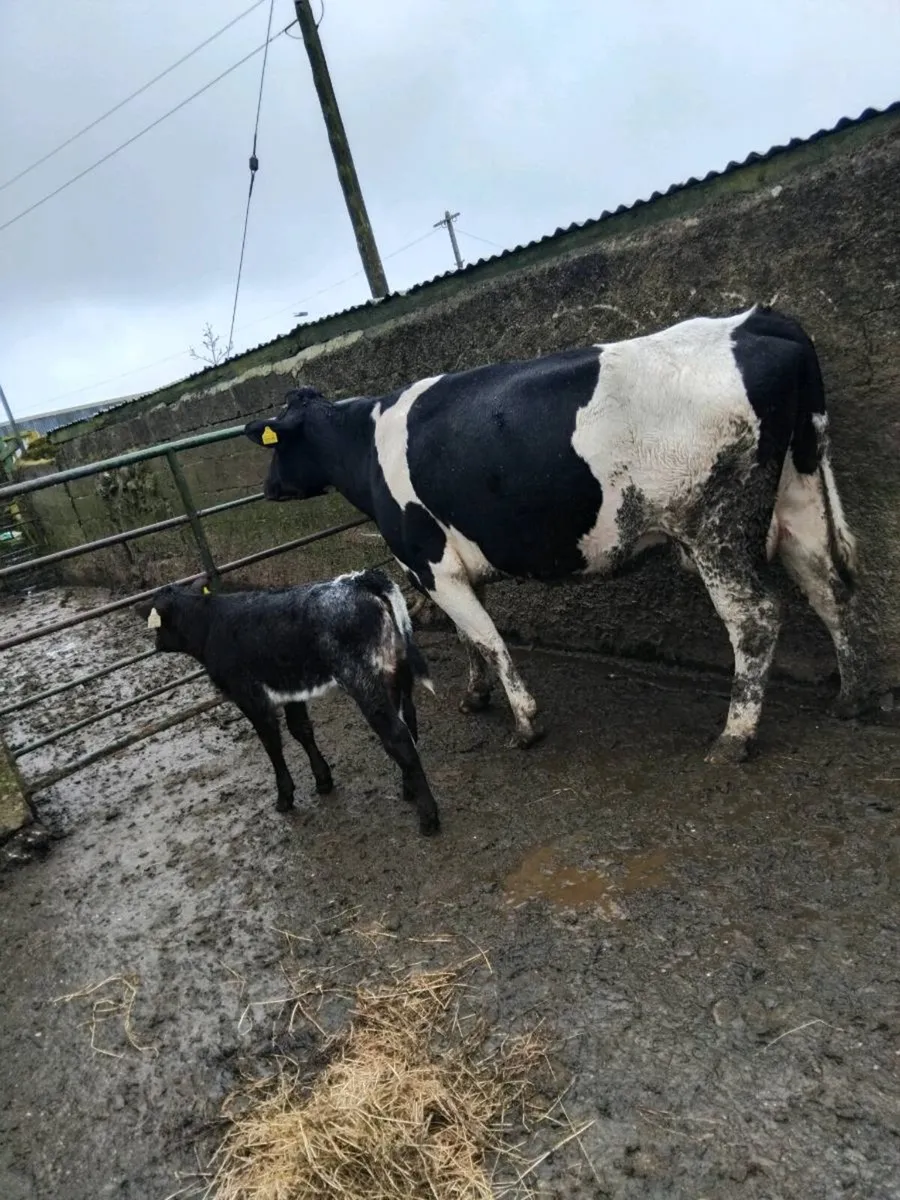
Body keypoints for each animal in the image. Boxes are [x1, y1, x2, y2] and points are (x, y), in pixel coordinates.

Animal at [136, 570, 441, 836]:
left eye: (156, 619)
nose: (156, 645)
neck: (209, 625)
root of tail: (362, 579)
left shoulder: (250, 696)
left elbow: (271, 742)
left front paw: (284, 796)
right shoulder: (292, 691)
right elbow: (301, 729)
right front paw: (323, 779)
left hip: (361, 678)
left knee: (396, 735)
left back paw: (429, 817)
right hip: (396, 672)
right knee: (409, 722)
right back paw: (409, 789)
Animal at [244, 306, 862, 764]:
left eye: (278, 446)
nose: (268, 489)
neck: (368, 443)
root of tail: (759, 320)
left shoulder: (430, 562)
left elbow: (489, 638)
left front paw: (525, 721)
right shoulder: (450, 567)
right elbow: (471, 639)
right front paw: (475, 696)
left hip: (715, 527)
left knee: (756, 618)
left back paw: (735, 737)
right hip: (799, 495)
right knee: (828, 588)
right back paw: (851, 695)